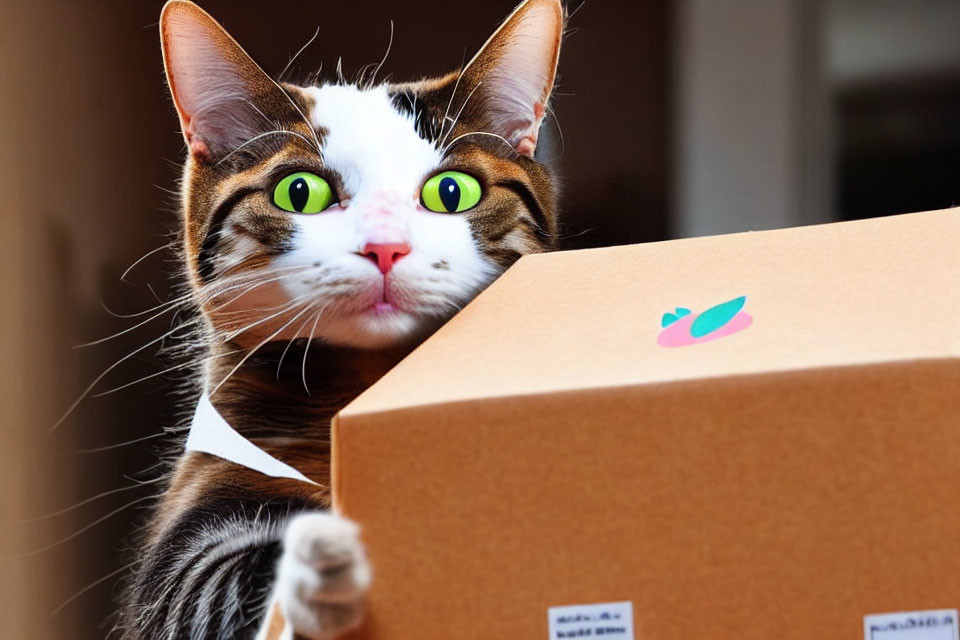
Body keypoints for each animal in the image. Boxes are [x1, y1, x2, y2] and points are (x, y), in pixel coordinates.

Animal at [116, 1, 564, 636]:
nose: (385, 247)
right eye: (298, 192)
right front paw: (325, 557)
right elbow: (201, 592)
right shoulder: (205, 486)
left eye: (452, 191)